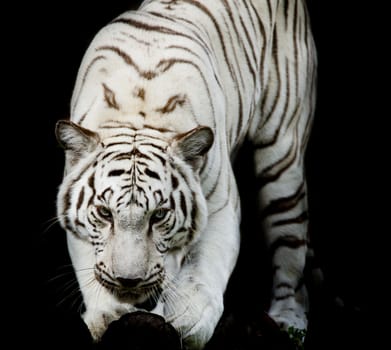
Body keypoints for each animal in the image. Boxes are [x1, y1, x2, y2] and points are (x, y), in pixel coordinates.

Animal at [56, 1, 318, 348]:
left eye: (159, 215)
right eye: (104, 213)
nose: (129, 281)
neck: (138, 114)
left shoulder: (220, 206)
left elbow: (204, 269)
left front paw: (189, 318)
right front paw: (107, 315)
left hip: (283, 160)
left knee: (291, 254)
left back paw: (290, 322)